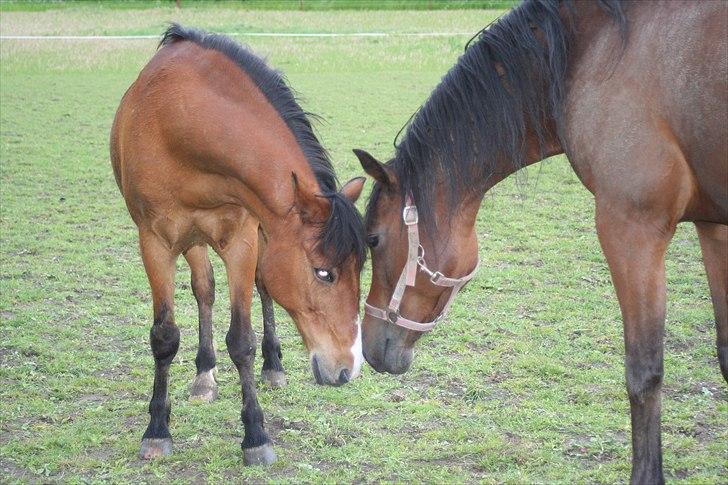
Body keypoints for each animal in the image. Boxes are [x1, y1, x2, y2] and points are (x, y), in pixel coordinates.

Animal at [110, 23, 366, 466]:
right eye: (323, 272)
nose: (347, 367)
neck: (183, 121)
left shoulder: (243, 240)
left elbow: (242, 340)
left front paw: (256, 435)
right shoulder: (155, 242)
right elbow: (164, 336)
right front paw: (157, 429)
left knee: (261, 289)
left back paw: (273, 366)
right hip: (192, 240)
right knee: (204, 289)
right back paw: (204, 375)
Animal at [352, 1, 724, 482]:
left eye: (374, 239)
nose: (369, 347)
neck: (590, 54)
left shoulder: (632, 228)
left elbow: (644, 373)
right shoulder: (714, 226)